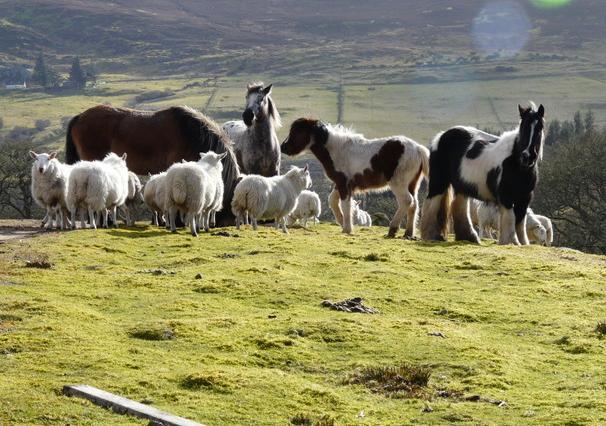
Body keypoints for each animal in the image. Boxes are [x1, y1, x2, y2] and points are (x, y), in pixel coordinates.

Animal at [422, 101, 548, 245]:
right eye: (523, 127)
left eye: (539, 128)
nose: (527, 156)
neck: (517, 164)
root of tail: (441, 136)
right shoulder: (506, 198)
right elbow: (510, 220)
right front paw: (510, 242)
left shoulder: (524, 198)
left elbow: (520, 223)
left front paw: (522, 243)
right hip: (439, 182)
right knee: (432, 204)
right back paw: (432, 235)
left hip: (462, 187)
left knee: (460, 207)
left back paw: (469, 237)